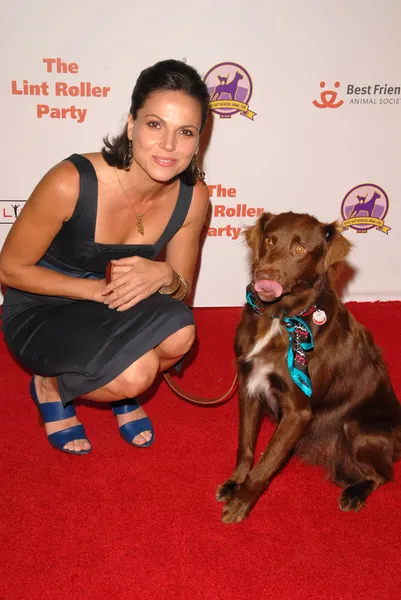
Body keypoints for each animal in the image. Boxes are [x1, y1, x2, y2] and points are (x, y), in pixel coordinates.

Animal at [217, 213, 398, 524]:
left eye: (300, 250)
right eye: (269, 241)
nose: (263, 277)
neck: (279, 317)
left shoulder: (298, 410)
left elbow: (266, 462)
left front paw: (242, 502)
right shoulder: (249, 385)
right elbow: (246, 447)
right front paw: (234, 483)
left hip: (354, 428)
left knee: (383, 475)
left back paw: (354, 494)